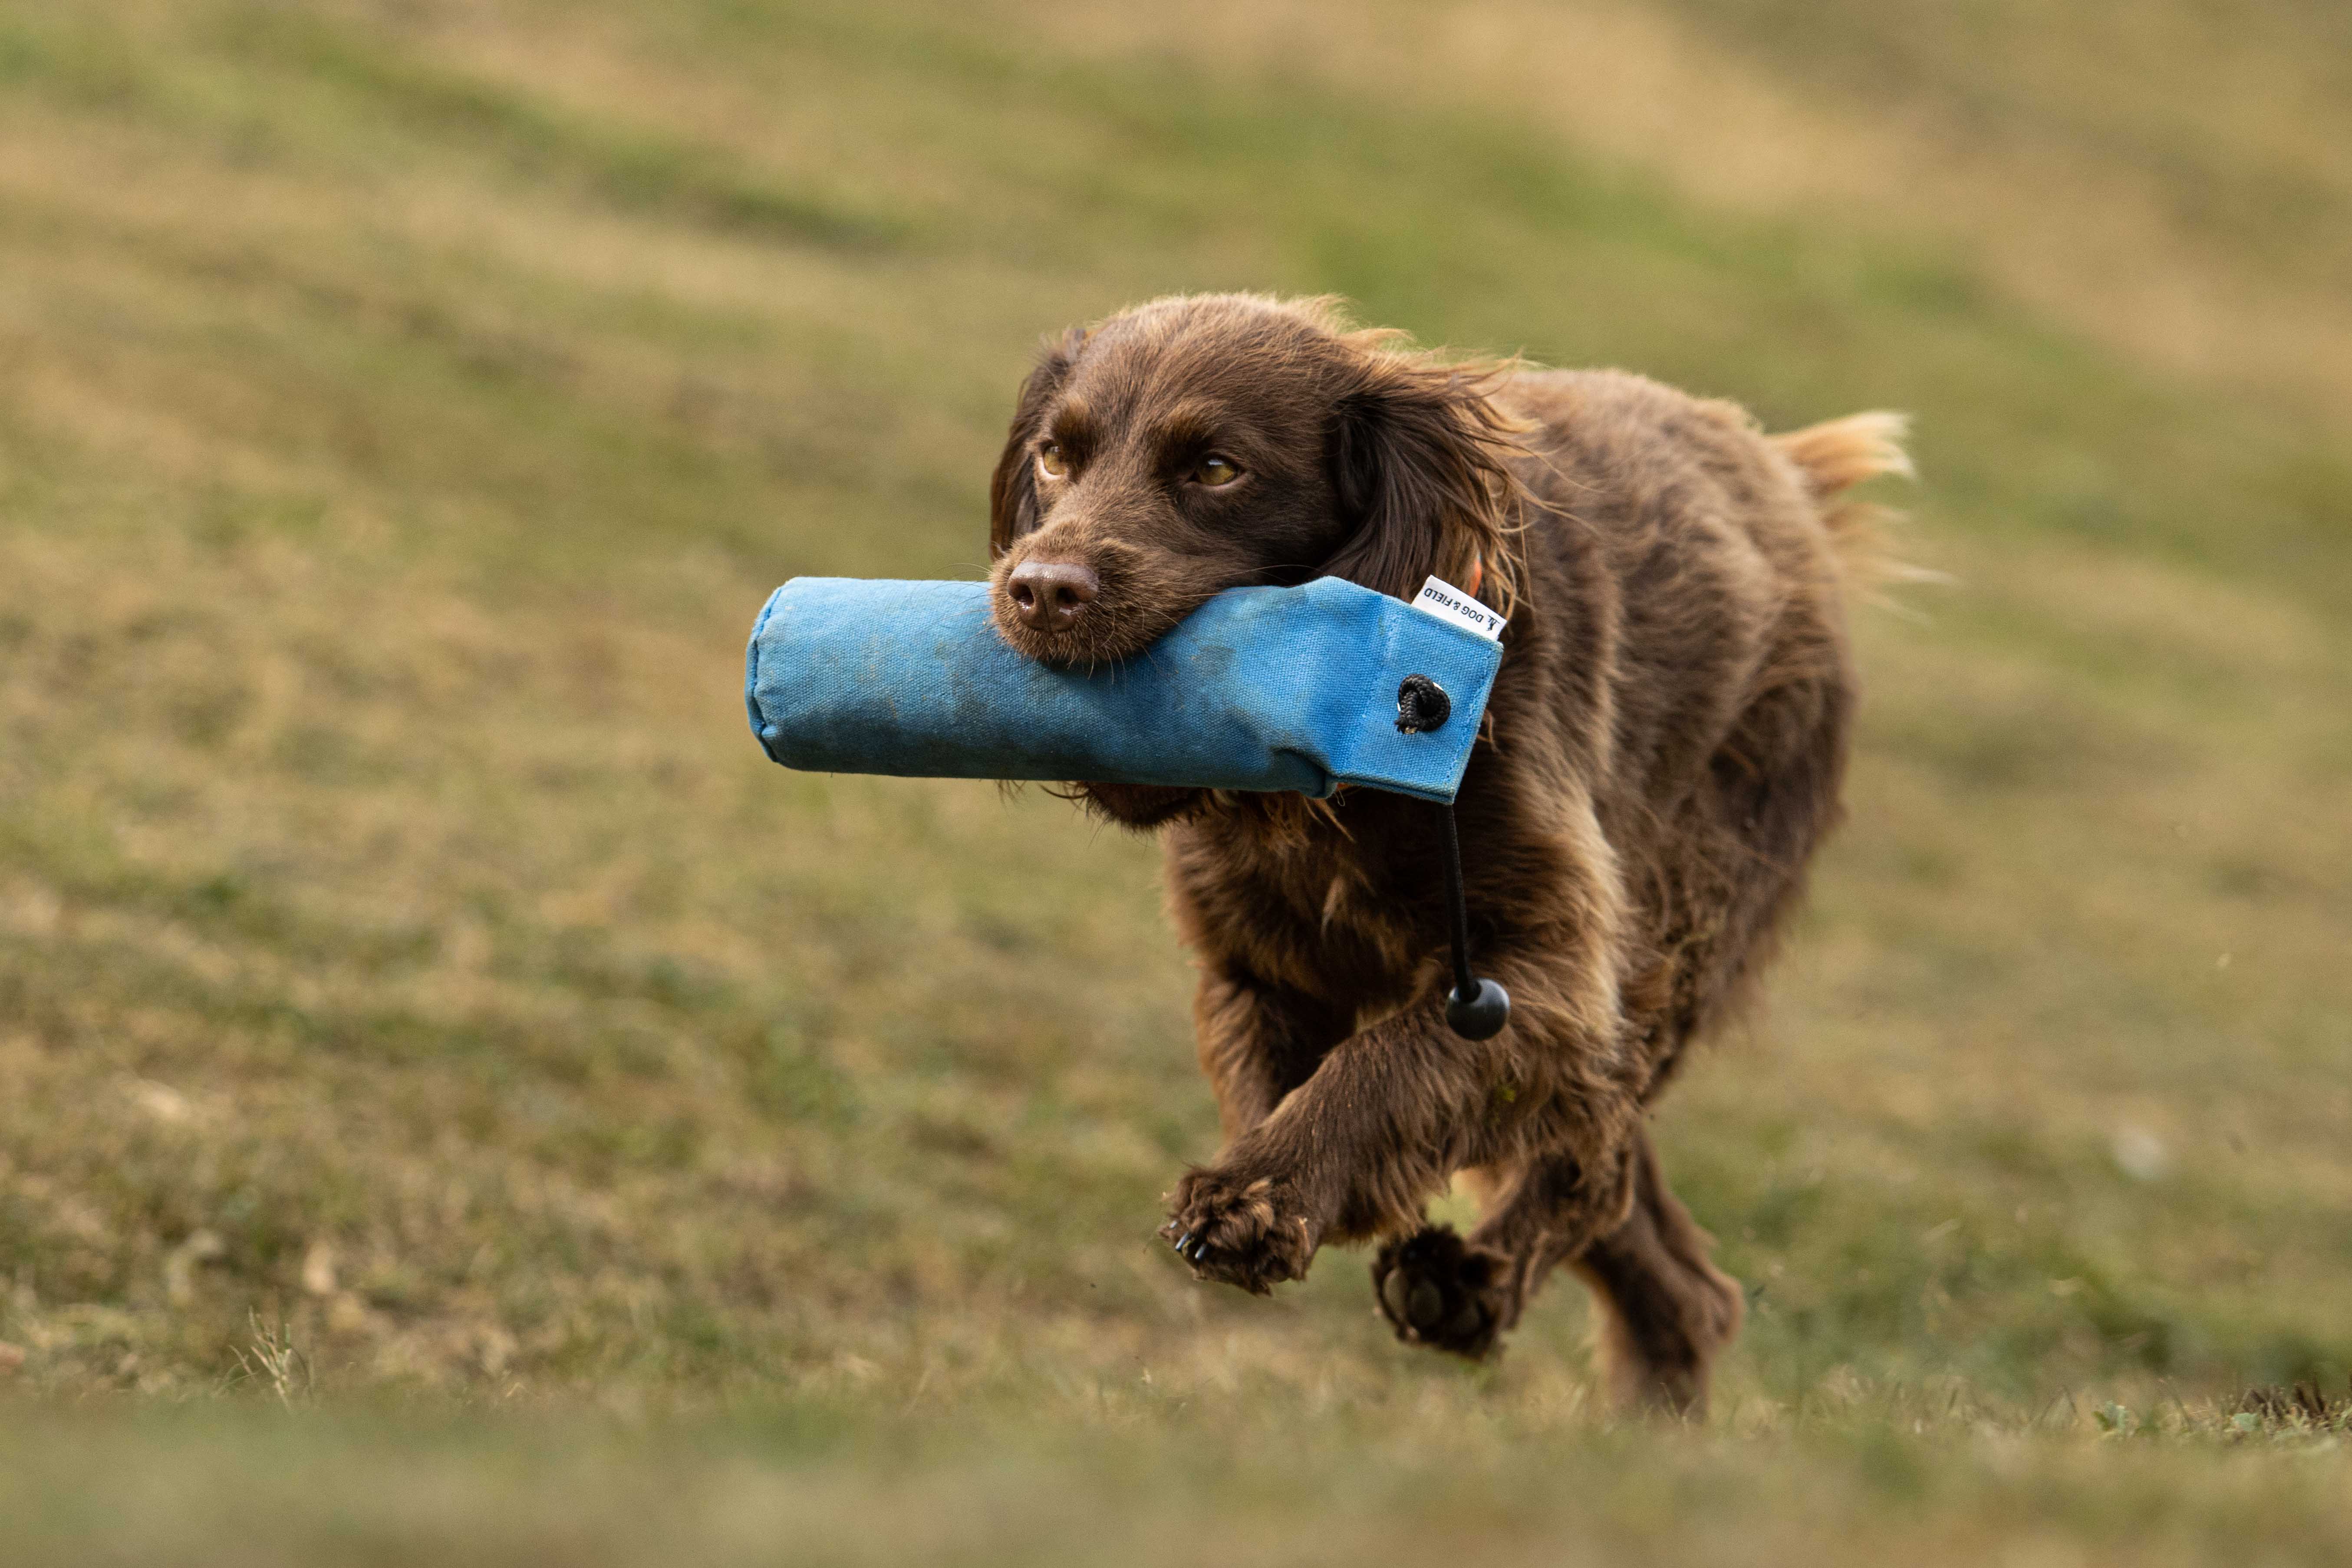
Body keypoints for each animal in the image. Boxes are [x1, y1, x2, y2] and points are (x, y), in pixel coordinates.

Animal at [983, 293, 1900, 1420]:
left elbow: (1383, 1066)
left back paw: (1468, 1285)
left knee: (1597, 1164)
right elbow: (1283, 1073)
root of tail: (1780, 470)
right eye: (1056, 456)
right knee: (1678, 1269)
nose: (1039, 591)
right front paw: (1282, 1185)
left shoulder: (1551, 970)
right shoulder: (1253, 964)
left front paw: (1261, 1197)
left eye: (1218, 469)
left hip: (1681, 917)